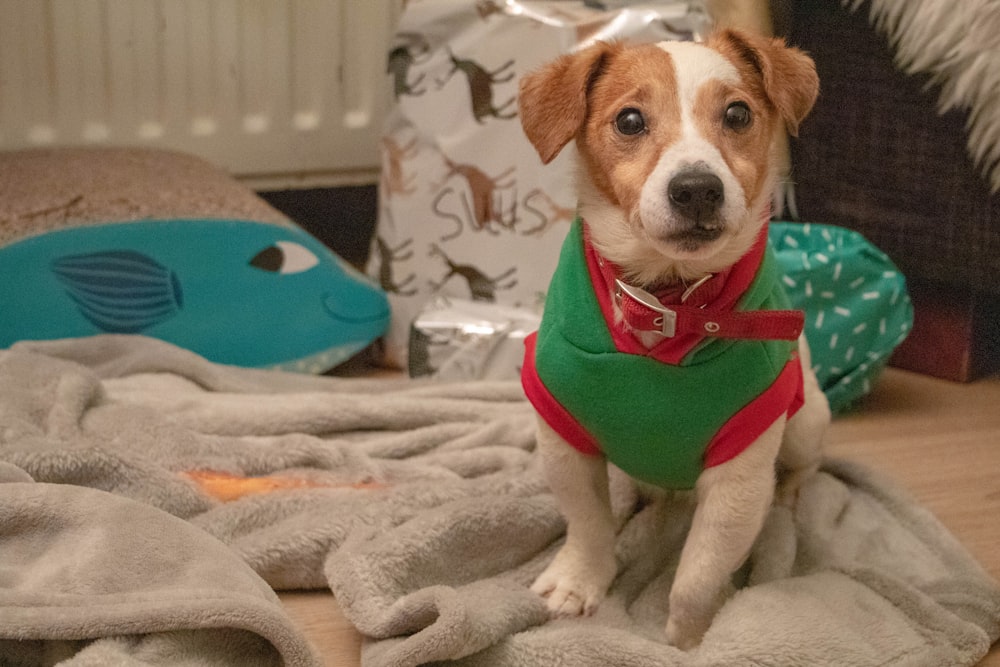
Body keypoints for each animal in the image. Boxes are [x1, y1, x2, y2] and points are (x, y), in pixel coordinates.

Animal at [516, 28, 828, 648]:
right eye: (630, 120)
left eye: (738, 113)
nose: (697, 189)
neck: (669, 303)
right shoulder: (564, 440)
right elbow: (588, 525)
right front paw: (579, 581)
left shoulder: (738, 479)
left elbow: (697, 578)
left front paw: (692, 637)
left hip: (806, 420)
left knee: (801, 468)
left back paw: (787, 500)